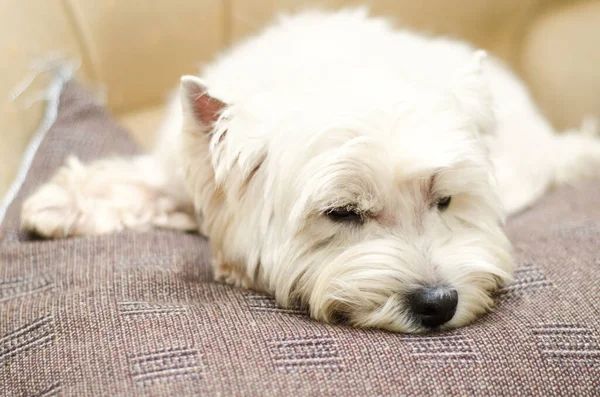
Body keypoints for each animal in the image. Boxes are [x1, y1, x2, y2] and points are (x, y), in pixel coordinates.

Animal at [21, 8, 596, 332]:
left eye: (445, 201)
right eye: (342, 212)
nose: (439, 303)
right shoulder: (179, 168)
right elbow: (135, 182)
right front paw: (53, 204)